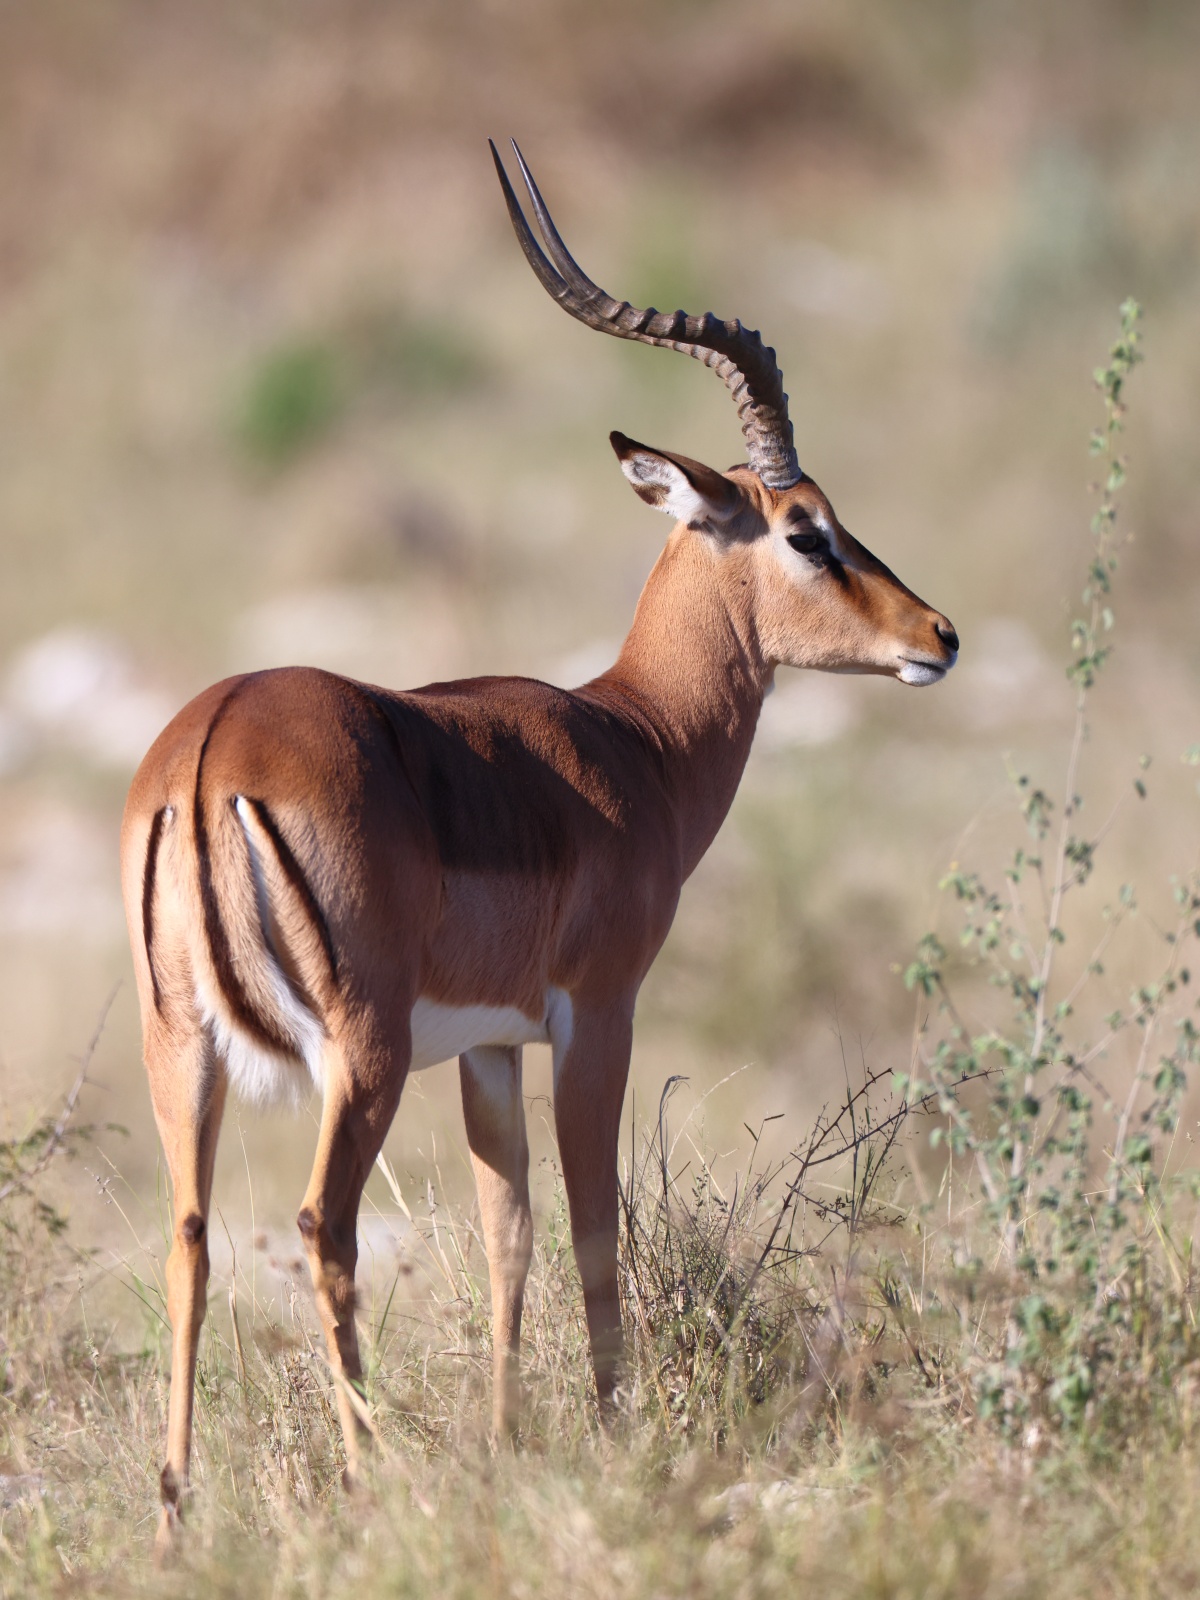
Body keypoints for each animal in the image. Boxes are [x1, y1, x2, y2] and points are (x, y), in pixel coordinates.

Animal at [121, 139, 957, 1545]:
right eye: (808, 527)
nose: (938, 635)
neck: (634, 737)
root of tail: (207, 751)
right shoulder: (595, 1012)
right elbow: (590, 1219)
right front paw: (615, 1437)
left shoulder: (489, 1044)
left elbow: (507, 1232)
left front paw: (511, 1445)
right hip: (359, 1051)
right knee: (320, 1224)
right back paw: (371, 1478)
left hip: (184, 1045)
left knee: (187, 1233)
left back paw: (180, 1506)